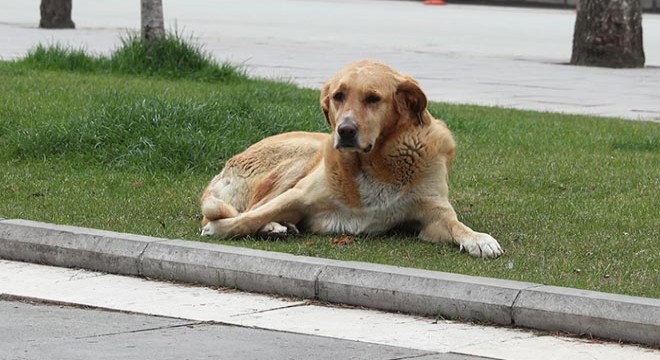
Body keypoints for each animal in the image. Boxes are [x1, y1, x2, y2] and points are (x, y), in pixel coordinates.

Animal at [199, 60, 502, 258]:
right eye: (338, 96)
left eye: (373, 98)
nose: (344, 130)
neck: (374, 163)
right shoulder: (299, 194)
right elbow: (248, 218)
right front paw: (220, 228)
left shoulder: (434, 214)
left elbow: (456, 225)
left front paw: (478, 239)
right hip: (303, 155)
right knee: (253, 207)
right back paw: (273, 225)